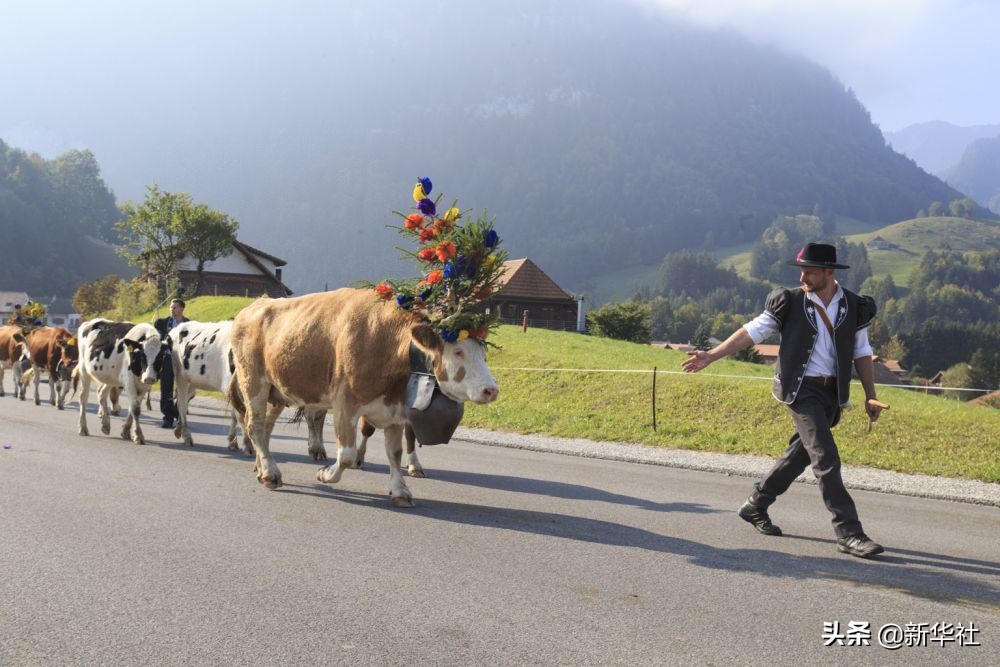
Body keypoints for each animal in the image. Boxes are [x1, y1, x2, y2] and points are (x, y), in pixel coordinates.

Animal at [167, 320, 247, 452]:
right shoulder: (230, 385)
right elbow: (239, 415)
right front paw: (246, 444)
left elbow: (236, 415)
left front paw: (233, 441)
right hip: (180, 377)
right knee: (182, 405)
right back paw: (187, 436)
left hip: (193, 381)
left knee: (181, 400)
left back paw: (179, 430)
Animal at [225, 290, 494, 506]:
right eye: (458, 351)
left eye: (483, 352)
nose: (491, 389)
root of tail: (256, 304)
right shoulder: (344, 402)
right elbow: (346, 454)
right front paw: (325, 474)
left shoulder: (395, 410)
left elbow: (394, 453)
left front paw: (400, 491)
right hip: (254, 382)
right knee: (254, 425)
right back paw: (270, 473)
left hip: (276, 392)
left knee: (265, 428)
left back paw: (262, 468)